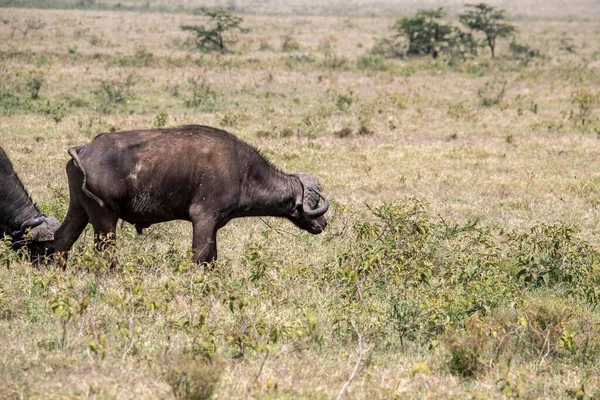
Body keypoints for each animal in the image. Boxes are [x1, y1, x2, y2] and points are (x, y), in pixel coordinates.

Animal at [54, 123, 330, 264]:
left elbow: (212, 259)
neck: (244, 171)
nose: (324, 223)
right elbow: (199, 257)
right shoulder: (203, 218)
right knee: (105, 254)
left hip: (79, 209)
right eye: (314, 199)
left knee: (62, 238)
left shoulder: (214, 225)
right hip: (105, 219)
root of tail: (86, 149)